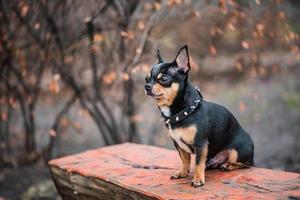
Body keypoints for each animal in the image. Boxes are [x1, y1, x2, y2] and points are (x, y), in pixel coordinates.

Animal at [144, 45, 254, 188]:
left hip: (236, 152)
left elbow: (197, 163)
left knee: (246, 164)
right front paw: (182, 173)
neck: (183, 112)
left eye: (164, 79)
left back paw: (228, 165)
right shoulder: (179, 145)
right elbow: (185, 160)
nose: (147, 86)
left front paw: (198, 180)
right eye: (147, 79)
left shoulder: (200, 144)